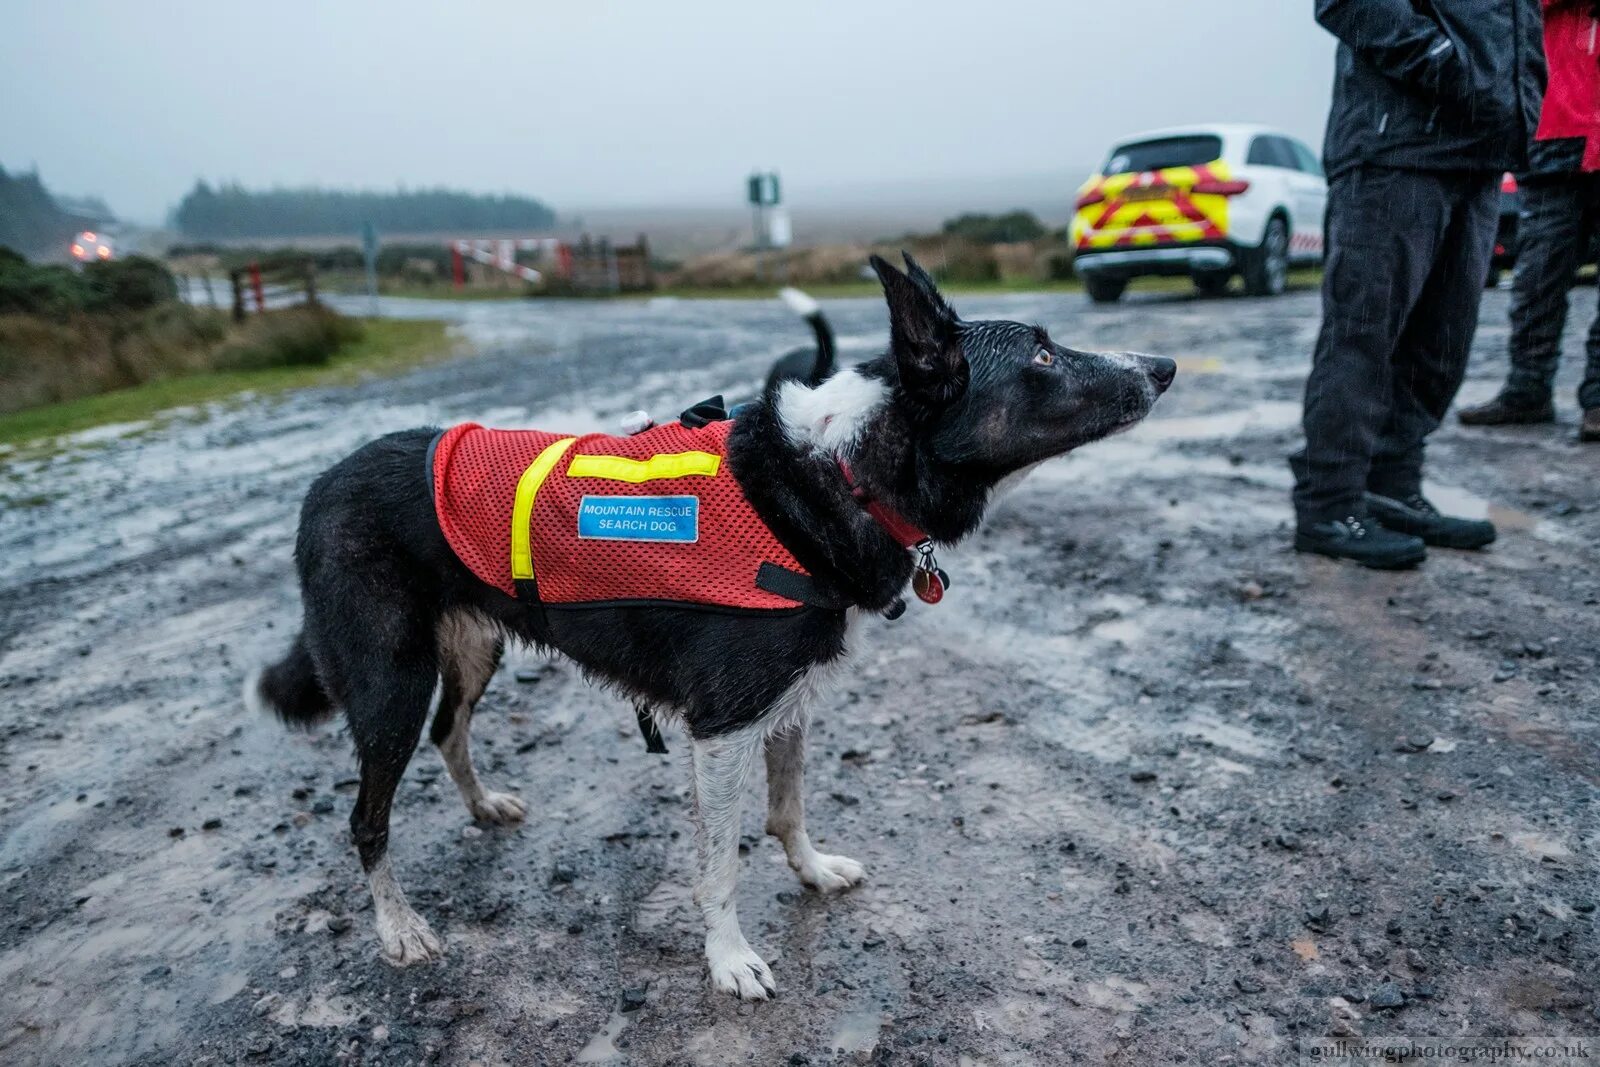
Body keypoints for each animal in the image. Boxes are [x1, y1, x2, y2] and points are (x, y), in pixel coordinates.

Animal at [249, 252, 1177, 1004]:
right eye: (1043, 356)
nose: (1165, 364)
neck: (838, 473)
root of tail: (320, 484)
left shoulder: (790, 700)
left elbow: (788, 810)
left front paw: (811, 871)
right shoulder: (723, 725)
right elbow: (723, 860)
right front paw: (729, 958)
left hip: (472, 647)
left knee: (451, 729)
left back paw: (482, 805)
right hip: (389, 681)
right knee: (367, 816)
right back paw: (398, 926)